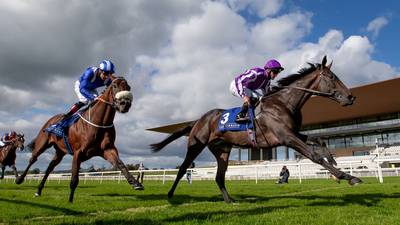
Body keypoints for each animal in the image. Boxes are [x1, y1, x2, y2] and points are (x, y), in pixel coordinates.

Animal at [16, 77, 144, 202]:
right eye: (115, 86)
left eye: (129, 88)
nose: (125, 104)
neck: (99, 123)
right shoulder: (78, 152)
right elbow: (74, 179)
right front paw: (70, 201)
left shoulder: (107, 149)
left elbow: (120, 164)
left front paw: (136, 183)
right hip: (42, 144)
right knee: (33, 159)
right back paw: (19, 179)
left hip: (60, 151)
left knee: (50, 167)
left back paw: (38, 191)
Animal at [151, 55, 362, 202]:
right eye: (332, 77)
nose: (351, 97)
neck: (284, 103)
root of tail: (199, 119)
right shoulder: (287, 137)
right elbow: (314, 155)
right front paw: (346, 176)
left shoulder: (294, 133)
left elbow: (319, 140)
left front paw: (336, 164)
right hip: (196, 145)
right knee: (183, 168)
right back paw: (170, 195)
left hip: (222, 150)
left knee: (219, 176)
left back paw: (230, 200)